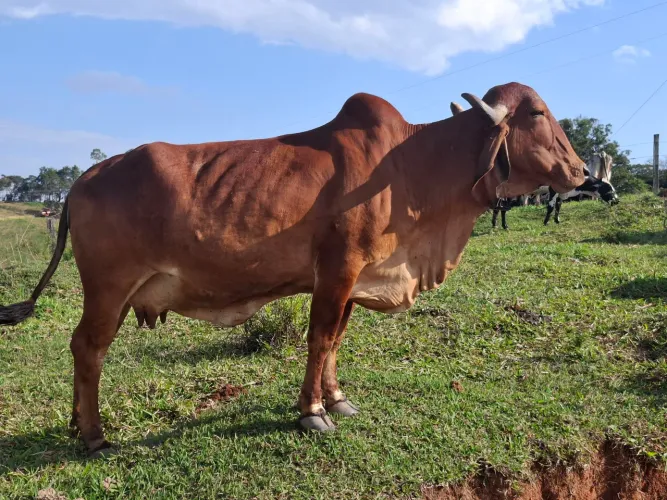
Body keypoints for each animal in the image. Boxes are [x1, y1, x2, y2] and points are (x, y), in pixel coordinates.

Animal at [0, 82, 586, 456]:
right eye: (537, 114)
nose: (582, 170)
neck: (411, 167)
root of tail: (80, 180)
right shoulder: (338, 269)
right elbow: (320, 338)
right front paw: (311, 412)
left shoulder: (352, 277)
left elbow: (337, 340)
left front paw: (338, 399)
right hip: (108, 288)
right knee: (88, 349)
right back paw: (94, 435)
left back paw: (78, 424)